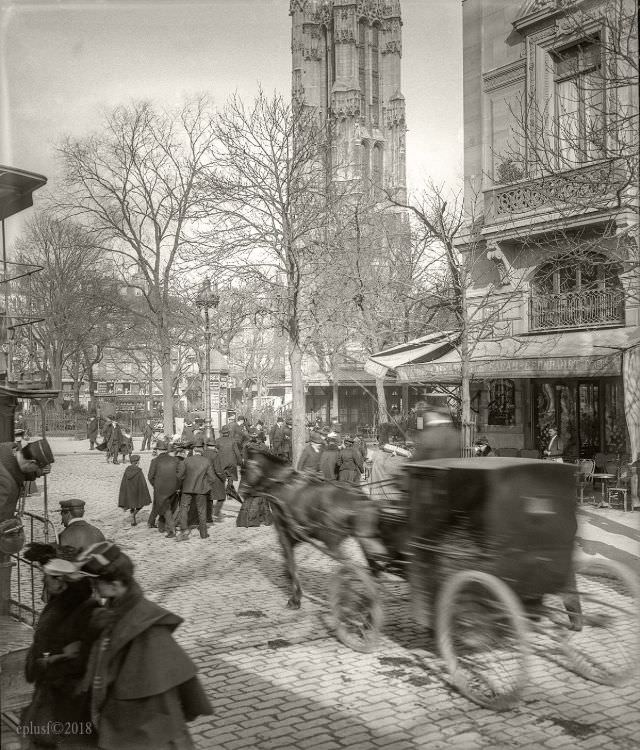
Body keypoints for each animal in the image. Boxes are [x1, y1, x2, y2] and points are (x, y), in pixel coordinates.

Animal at [240, 446, 388, 612]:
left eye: (244, 470)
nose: (241, 492)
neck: (283, 485)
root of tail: (360, 498)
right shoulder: (297, 535)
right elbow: (288, 561)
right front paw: (288, 579)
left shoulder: (284, 534)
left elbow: (291, 563)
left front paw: (295, 598)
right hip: (364, 540)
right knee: (373, 569)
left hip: (333, 542)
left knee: (356, 569)